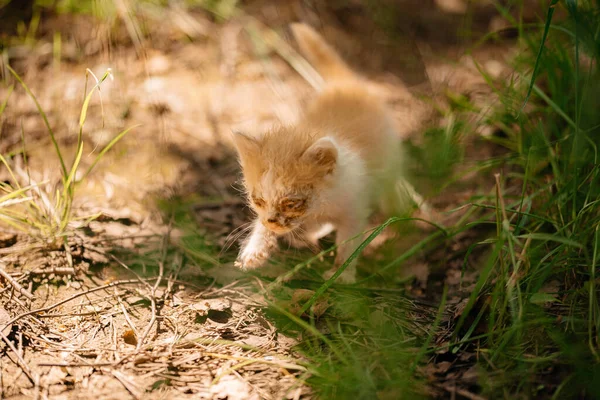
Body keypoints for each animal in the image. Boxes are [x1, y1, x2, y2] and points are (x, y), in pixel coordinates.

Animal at [231, 23, 426, 282]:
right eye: (258, 200)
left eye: (292, 203)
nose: (272, 220)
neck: (324, 204)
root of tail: (344, 86)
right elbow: (265, 225)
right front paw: (254, 251)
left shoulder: (354, 209)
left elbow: (349, 244)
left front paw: (341, 276)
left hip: (390, 156)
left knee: (391, 183)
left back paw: (398, 212)